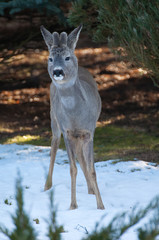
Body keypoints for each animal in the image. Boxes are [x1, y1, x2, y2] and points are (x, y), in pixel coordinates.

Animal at [40, 23, 104, 208]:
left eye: (67, 57)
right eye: (50, 59)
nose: (57, 71)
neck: (76, 115)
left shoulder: (89, 131)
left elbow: (91, 168)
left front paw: (100, 206)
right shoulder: (67, 131)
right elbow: (72, 168)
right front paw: (73, 206)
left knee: (80, 156)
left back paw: (91, 190)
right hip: (54, 120)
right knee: (54, 146)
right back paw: (47, 186)